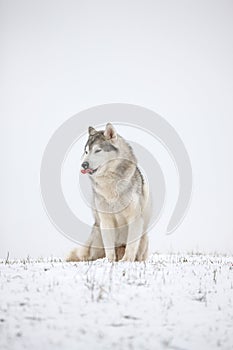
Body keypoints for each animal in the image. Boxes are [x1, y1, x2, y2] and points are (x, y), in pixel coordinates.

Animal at [66, 121, 152, 262]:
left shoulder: (134, 218)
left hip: (143, 237)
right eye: (86, 151)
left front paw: (126, 260)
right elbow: (109, 248)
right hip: (97, 233)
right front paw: (109, 261)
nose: (84, 164)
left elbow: (131, 246)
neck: (110, 184)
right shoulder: (106, 220)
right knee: (88, 254)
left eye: (98, 150)